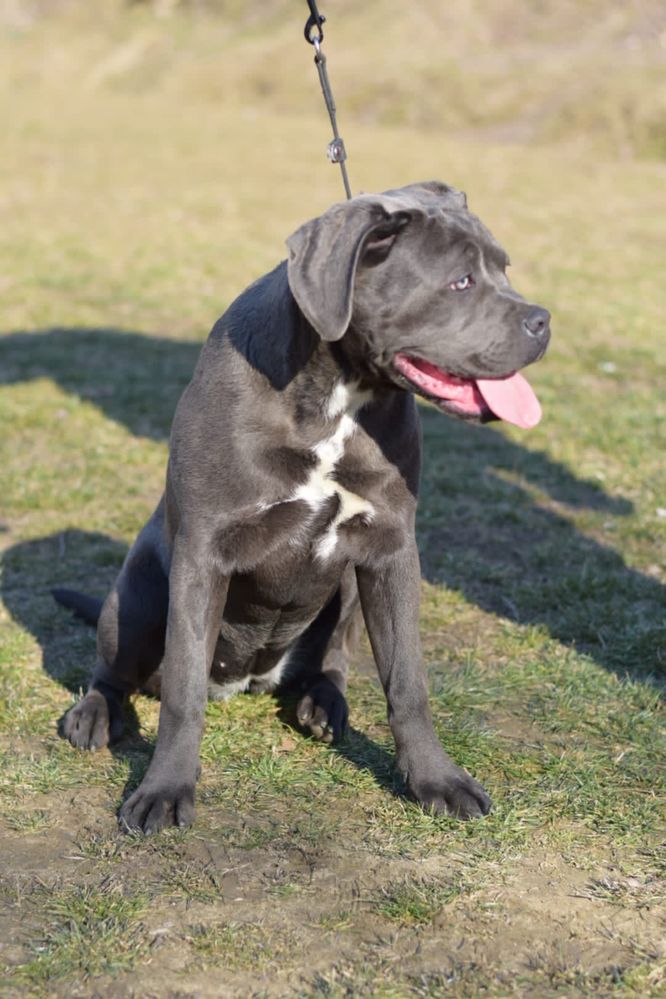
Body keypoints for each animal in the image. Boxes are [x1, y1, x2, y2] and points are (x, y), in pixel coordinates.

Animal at [53, 182, 548, 836]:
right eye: (461, 280)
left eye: (504, 268)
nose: (543, 321)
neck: (335, 396)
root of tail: (247, 680)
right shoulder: (203, 555)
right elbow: (183, 694)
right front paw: (163, 791)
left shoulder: (390, 548)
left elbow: (408, 681)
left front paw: (437, 780)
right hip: (138, 585)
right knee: (115, 669)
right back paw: (95, 713)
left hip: (345, 587)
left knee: (331, 661)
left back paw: (323, 703)